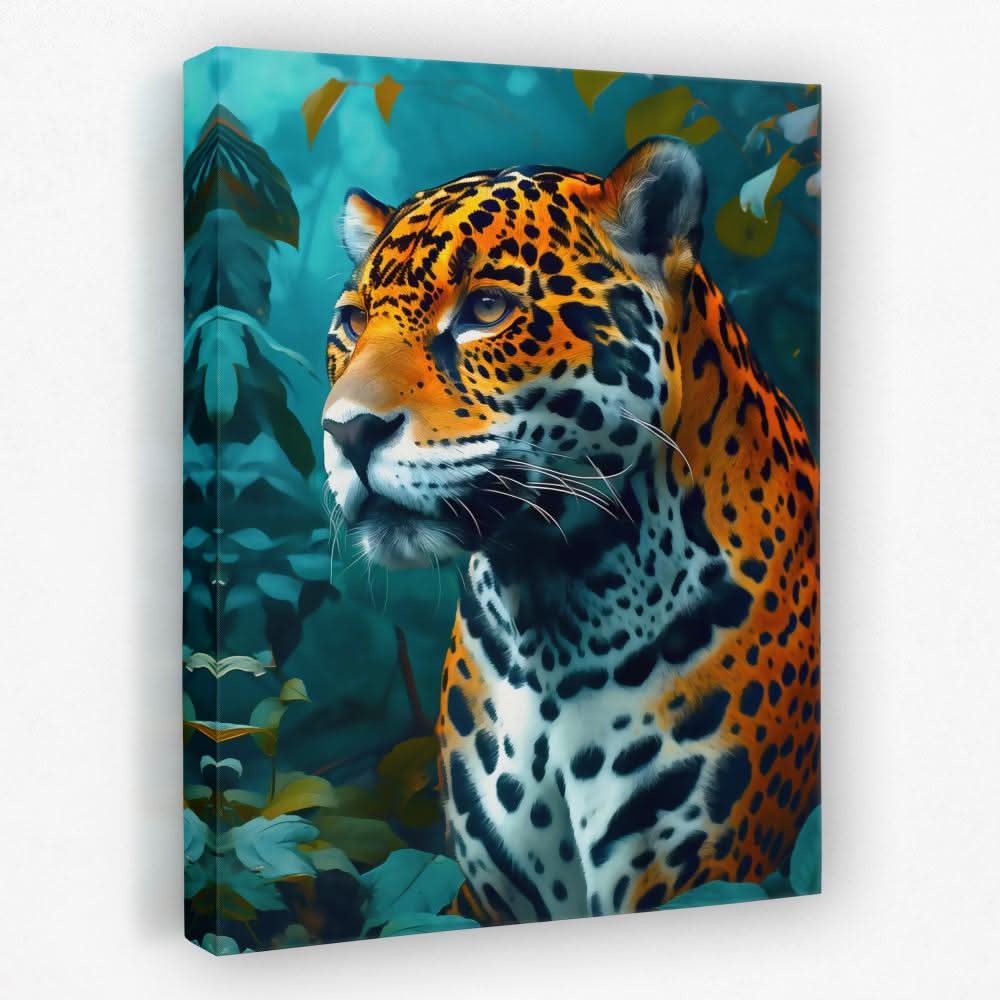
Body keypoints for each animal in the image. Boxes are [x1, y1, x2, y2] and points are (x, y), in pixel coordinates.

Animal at [322, 136, 819, 922]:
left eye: (485, 307)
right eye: (350, 324)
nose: (346, 432)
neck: (551, 622)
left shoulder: (702, 868)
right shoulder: (494, 893)